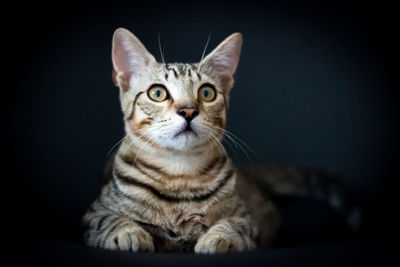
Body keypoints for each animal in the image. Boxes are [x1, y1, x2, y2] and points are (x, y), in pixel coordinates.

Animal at [82, 28, 360, 254]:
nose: (188, 111)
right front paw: (127, 233)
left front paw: (219, 238)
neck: (179, 175)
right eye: (157, 93)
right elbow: (110, 219)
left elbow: (234, 225)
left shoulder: (247, 219)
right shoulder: (93, 214)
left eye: (207, 92)